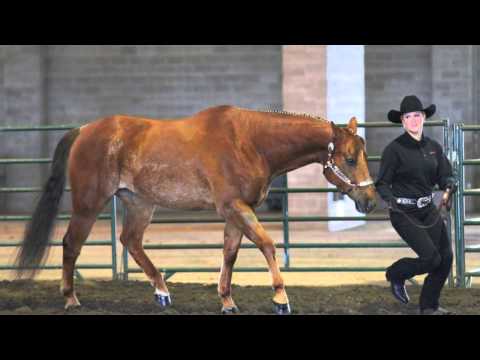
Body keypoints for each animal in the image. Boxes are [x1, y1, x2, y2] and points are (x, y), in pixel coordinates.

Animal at [15, 105, 376, 314]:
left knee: (130, 241)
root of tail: (84, 130)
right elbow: (267, 245)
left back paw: (162, 292)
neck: (250, 141)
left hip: (140, 203)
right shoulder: (234, 207)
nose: (370, 200)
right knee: (71, 244)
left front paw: (227, 301)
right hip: (89, 203)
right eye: (349, 159)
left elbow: (230, 254)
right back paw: (71, 299)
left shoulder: (236, 212)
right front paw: (280, 299)